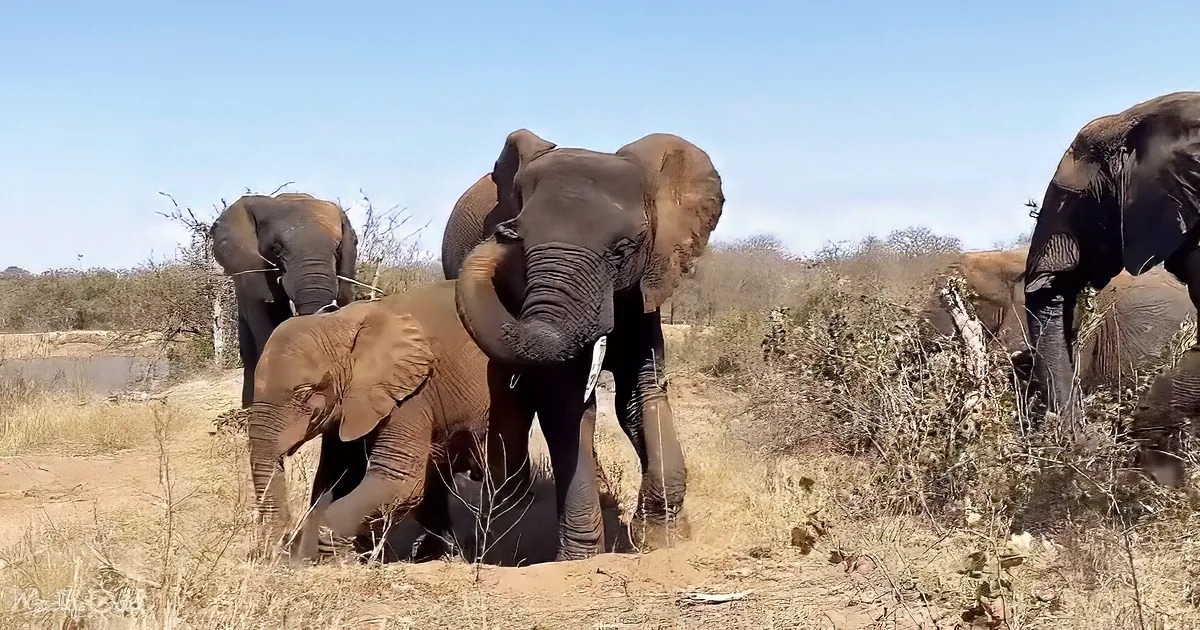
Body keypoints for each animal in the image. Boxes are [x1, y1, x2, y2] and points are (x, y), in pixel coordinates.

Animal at [246, 280, 534, 563]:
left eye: (306, 393)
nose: (276, 550)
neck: (343, 324)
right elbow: (334, 477)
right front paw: (304, 558)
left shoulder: (413, 393)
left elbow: (398, 480)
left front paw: (331, 553)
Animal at [440, 129, 724, 560]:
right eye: (521, 239)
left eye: (624, 249)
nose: (502, 233)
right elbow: (565, 403)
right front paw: (579, 559)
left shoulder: (643, 291)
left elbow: (641, 393)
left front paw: (659, 539)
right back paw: (510, 507)